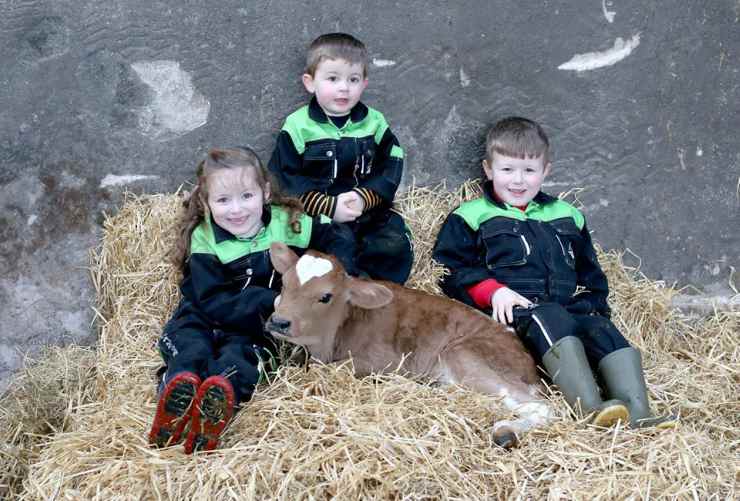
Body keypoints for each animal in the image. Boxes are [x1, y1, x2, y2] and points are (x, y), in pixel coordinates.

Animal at [264, 241, 548, 446]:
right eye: (284, 283)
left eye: (325, 296)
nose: (279, 322)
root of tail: (528, 362)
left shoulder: (385, 362)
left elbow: (331, 368)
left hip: (465, 356)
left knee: (542, 406)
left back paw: (505, 432)